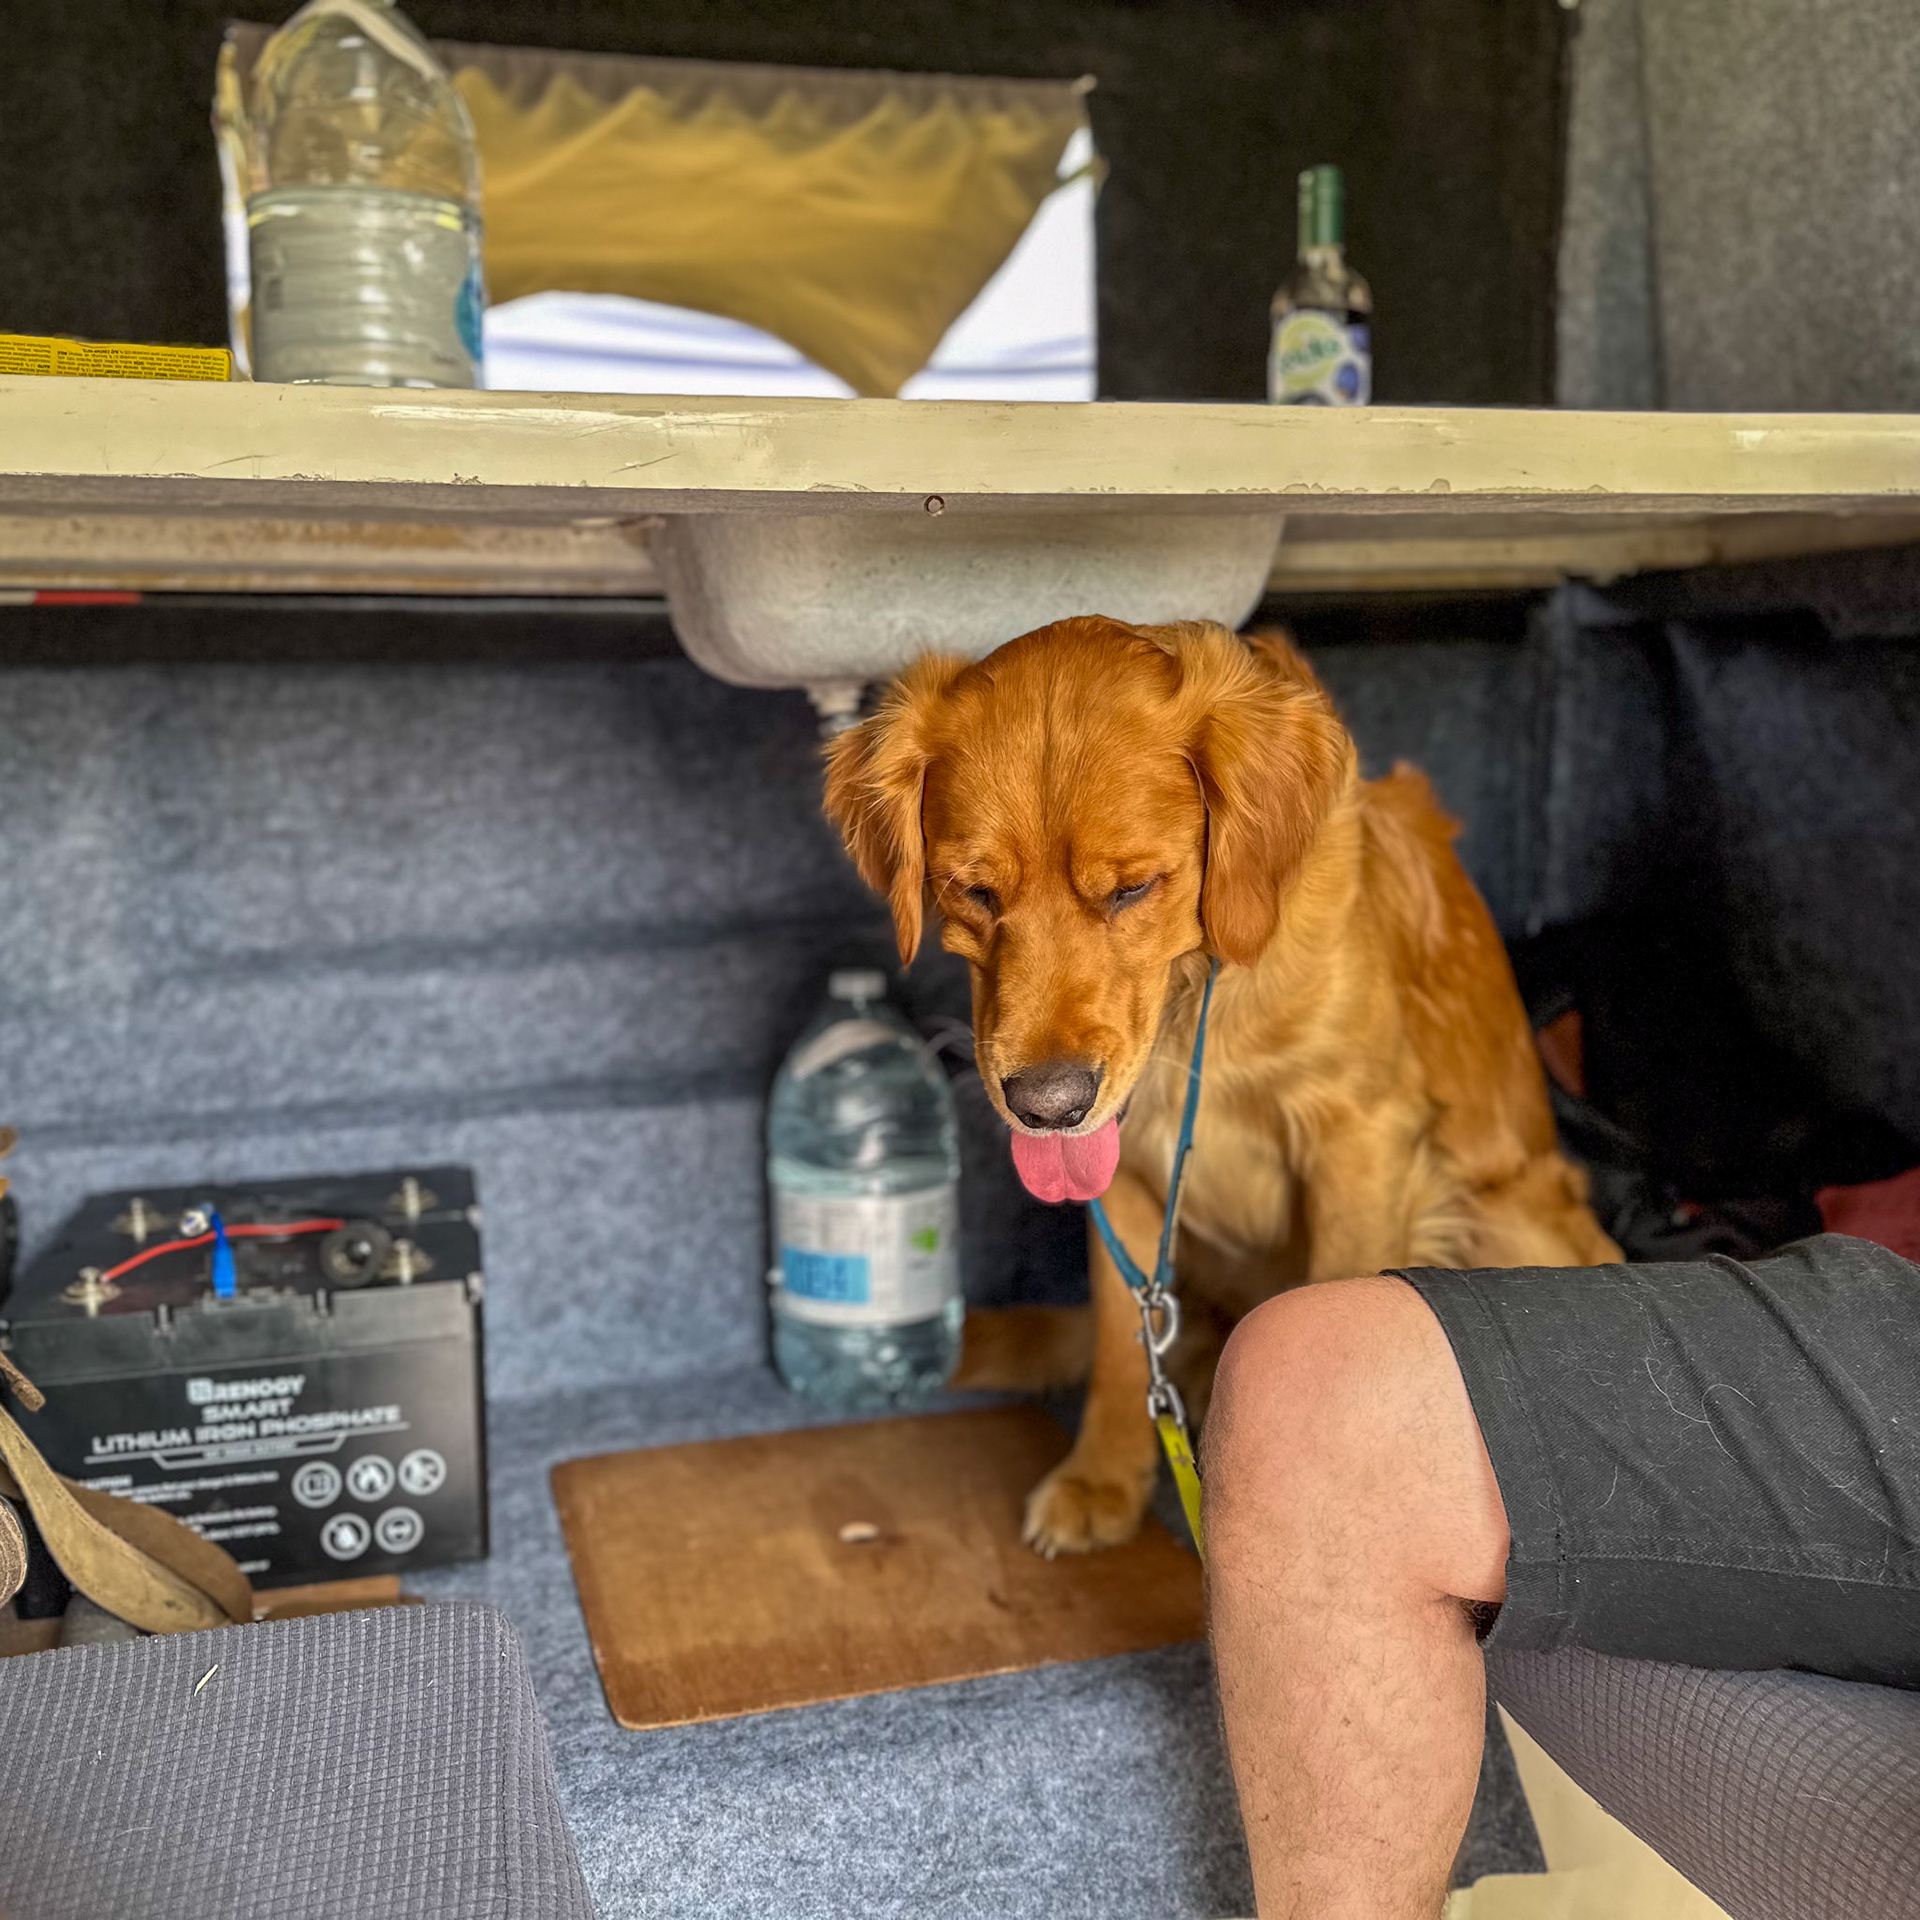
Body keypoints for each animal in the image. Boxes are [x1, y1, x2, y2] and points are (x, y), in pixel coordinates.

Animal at [825, 616, 1619, 1555]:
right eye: (975, 892)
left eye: (1134, 887)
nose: (1047, 1107)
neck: (1195, 995)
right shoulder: (1122, 1169)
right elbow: (1121, 1340)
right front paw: (1104, 1474)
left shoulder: (1360, 1139)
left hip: (1508, 1217)